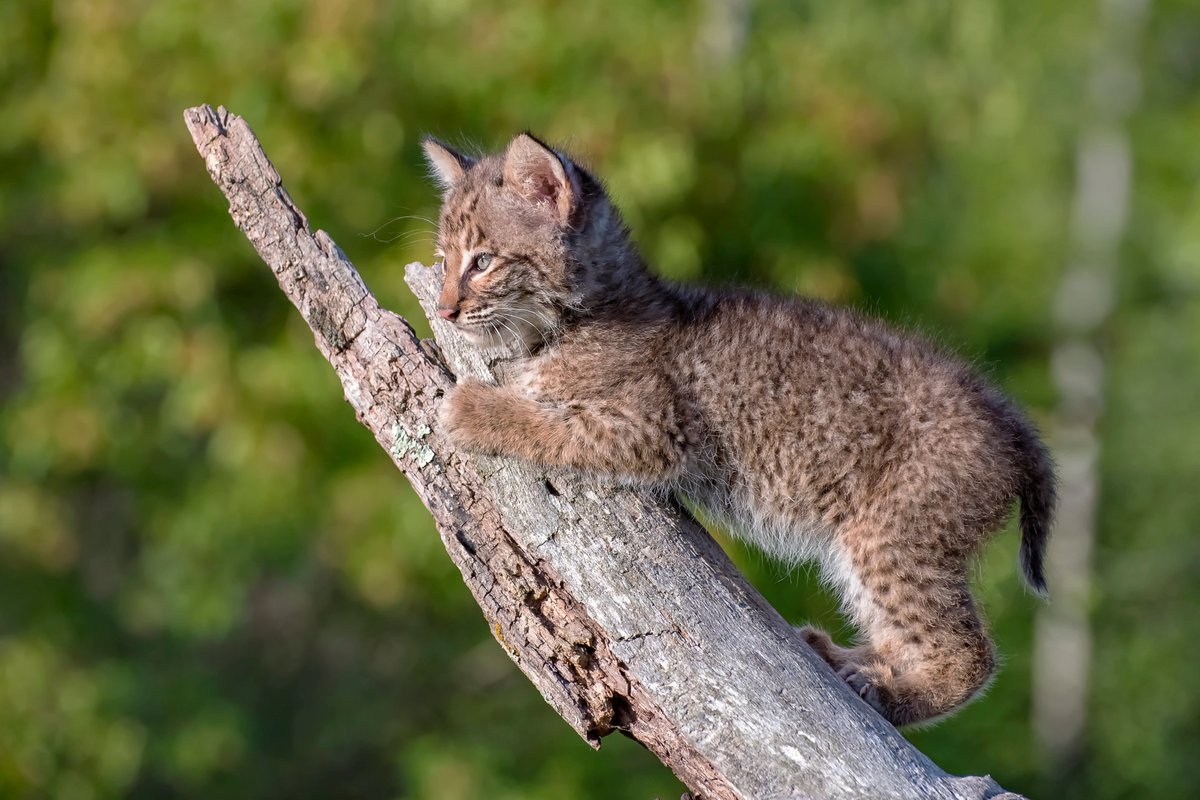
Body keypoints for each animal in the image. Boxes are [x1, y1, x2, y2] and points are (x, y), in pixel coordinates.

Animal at [420, 130, 1051, 724]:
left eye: (483, 261)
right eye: (444, 260)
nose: (447, 309)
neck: (574, 317)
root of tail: (1011, 417)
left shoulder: (653, 429)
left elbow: (548, 425)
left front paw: (470, 408)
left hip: (893, 533)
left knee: (970, 653)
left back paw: (887, 692)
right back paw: (846, 660)